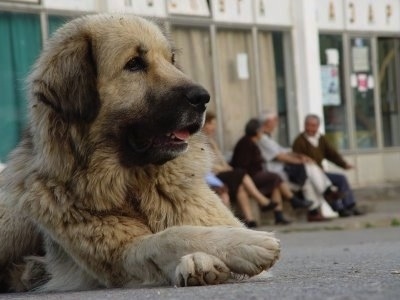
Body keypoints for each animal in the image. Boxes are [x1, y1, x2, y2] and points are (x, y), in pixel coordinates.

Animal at [0, 14, 280, 292]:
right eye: (134, 64)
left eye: (171, 60)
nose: (203, 97)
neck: (136, 184)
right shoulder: (123, 254)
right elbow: (171, 236)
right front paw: (245, 244)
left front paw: (209, 258)